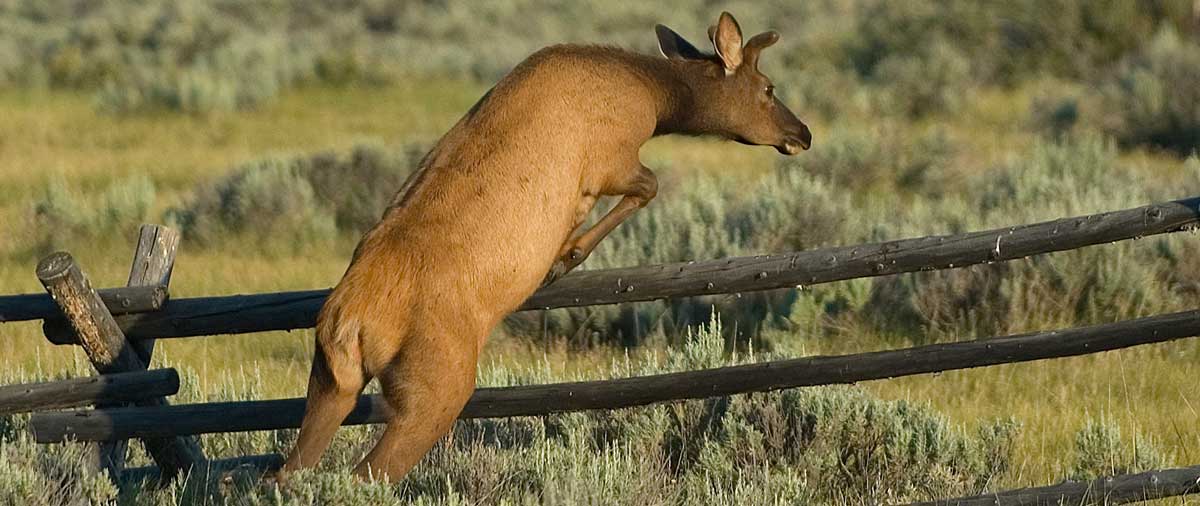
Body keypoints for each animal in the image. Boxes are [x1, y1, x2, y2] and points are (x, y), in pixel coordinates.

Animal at [278, 11, 811, 483]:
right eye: (768, 88)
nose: (802, 133)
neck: (654, 97)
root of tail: (349, 322)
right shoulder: (612, 159)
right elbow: (649, 186)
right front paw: (564, 255)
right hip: (436, 385)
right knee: (367, 474)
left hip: (331, 381)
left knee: (287, 472)